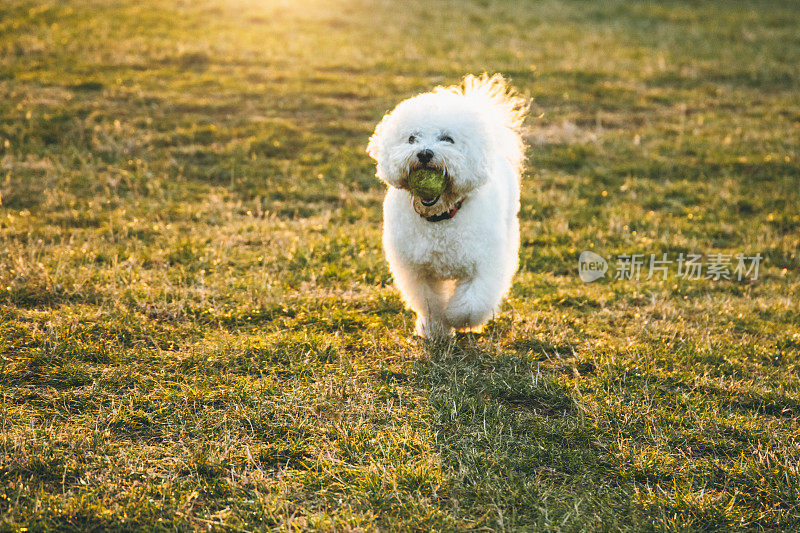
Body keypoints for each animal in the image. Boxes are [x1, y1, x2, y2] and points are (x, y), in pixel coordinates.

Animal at [366, 73, 528, 338]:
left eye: (447, 139)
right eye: (411, 138)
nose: (424, 153)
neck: (439, 218)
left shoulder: (483, 266)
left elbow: (471, 304)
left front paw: (457, 318)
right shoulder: (416, 271)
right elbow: (429, 302)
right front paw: (435, 329)